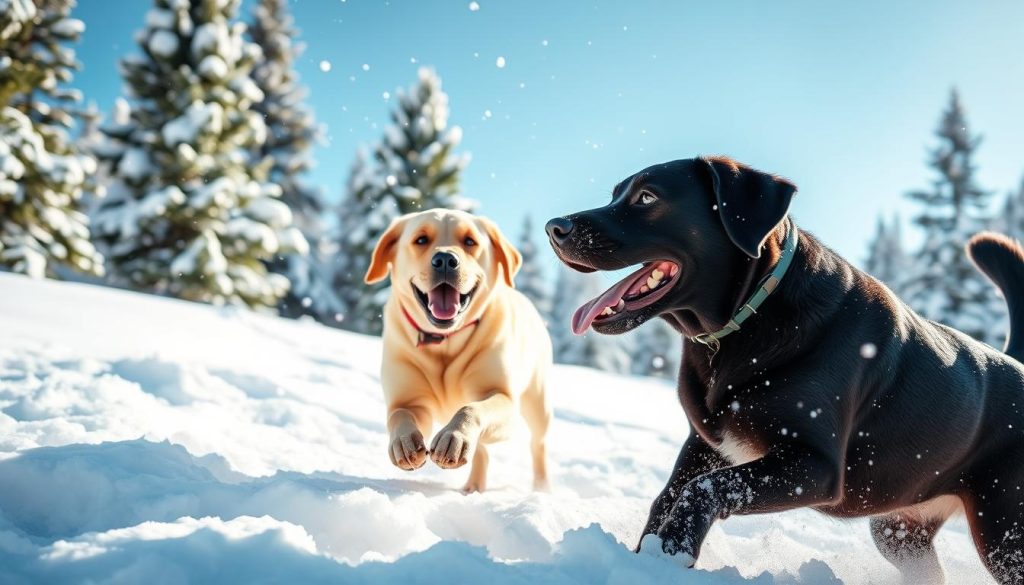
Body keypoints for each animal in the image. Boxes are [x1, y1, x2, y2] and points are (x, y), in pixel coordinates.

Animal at [548, 156, 1024, 585]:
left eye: (647, 197)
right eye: (615, 194)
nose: (555, 227)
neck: (747, 320)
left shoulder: (815, 465)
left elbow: (703, 490)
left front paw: (670, 556)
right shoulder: (706, 444)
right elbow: (667, 498)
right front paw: (647, 559)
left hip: (1004, 531)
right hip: (899, 529)